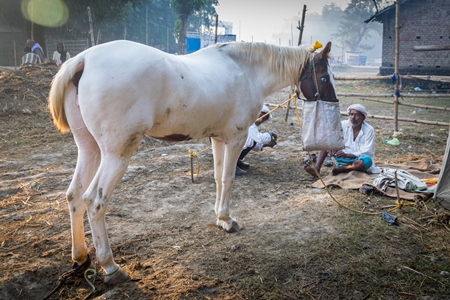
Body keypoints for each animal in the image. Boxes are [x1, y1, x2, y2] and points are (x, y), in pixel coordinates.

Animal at [49, 39, 338, 284]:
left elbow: (218, 177)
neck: (245, 70)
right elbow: (228, 178)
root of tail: (85, 58)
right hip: (116, 155)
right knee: (94, 201)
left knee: (74, 196)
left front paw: (221, 218)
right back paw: (110, 266)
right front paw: (228, 220)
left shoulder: (218, 139)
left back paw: (81, 257)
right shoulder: (236, 137)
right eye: (324, 77)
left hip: (88, 149)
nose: (334, 103)